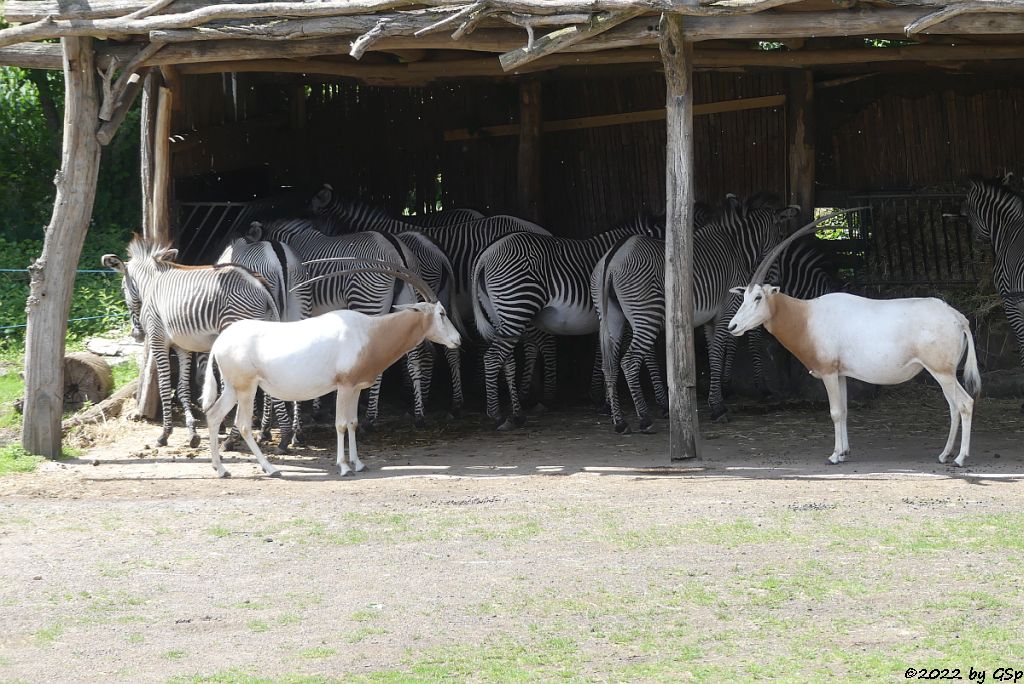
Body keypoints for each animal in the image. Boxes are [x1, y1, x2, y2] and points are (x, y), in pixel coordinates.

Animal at [103, 237, 280, 450]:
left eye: (122, 288)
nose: (136, 334)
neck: (151, 285)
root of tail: (260, 285)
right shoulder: (183, 347)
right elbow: (182, 389)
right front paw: (192, 433)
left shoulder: (158, 341)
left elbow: (164, 386)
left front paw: (164, 434)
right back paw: (262, 432)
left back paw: (232, 440)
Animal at [251, 219, 432, 428]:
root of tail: (395, 249)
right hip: (408, 299)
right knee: (415, 357)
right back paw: (419, 415)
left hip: (368, 301)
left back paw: (370, 419)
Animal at [471, 215, 663, 428]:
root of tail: (487, 253)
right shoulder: (628, 318)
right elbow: (647, 355)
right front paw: (661, 401)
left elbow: (605, 353)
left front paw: (603, 400)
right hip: (517, 306)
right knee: (493, 358)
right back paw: (497, 415)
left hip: (499, 314)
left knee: (507, 361)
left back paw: (517, 415)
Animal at [593, 200, 798, 430]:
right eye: (781, 235)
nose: (777, 281)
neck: (736, 248)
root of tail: (613, 258)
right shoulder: (724, 313)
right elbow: (717, 353)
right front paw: (718, 407)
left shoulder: (710, 320)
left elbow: (712, 354)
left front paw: (715, 401)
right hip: (646, 315)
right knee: (628, 362)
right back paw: (644, 419)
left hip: (612, 317)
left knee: (609, 365)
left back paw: (620, 422)